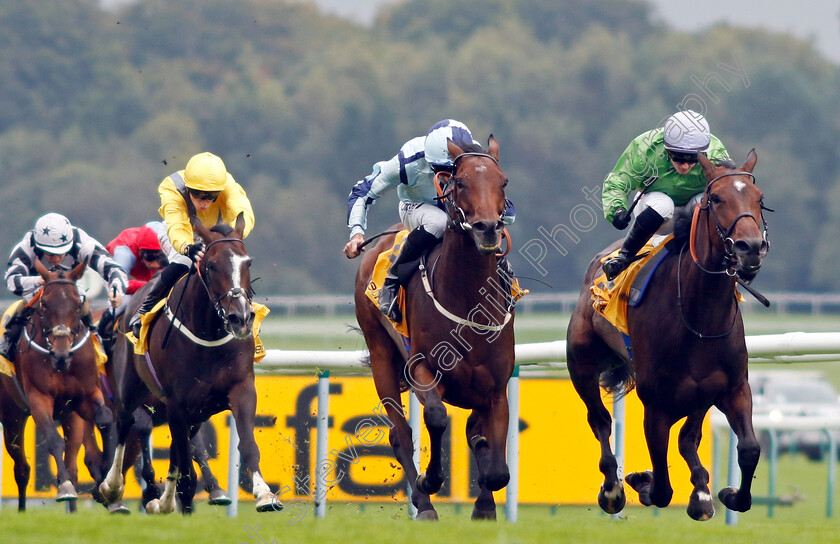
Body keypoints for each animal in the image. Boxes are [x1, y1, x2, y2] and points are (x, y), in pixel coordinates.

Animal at [0, 260, 115, 510]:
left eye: (77, 304)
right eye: (44, 304)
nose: (61, 354)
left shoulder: (85, 396)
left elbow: (105, 418)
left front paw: (108, 480)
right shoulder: (38, 397)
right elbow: (54, 440)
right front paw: (64, 488)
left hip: (70, 416)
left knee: (76, 462)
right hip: (12, 415)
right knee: (22, 469)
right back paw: (22, 509)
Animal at [98, 215, 276, 512]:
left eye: (247, 262)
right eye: (212, 265)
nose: (240, 318)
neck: (209, 335)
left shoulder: (240, 389)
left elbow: (247, 445)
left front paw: (265, 494)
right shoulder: (176, 403)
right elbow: (183, 468)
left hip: (195, 411)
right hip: (130, 389)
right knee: (124, 423)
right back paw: (112, 487)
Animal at [352, 136, 516, 520]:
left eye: (502, 182)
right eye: (462, 183)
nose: (488, 228)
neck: (468, 299)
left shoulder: (496, 386)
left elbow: (496, 462)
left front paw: (484, 505)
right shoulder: (422, 368)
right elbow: (438, 417)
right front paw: (430, 480)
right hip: (381, 355)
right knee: (399, 433)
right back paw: (424, 504)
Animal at [568, 151, 772, 520]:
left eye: (759, 198)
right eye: (715, 198)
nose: (750, 247)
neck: (699, 317)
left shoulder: (733, 387)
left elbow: (749, 449)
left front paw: (728, 494)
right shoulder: (656, 404)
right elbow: (662, 486)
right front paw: (640, 480)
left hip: (701, 394)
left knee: (688, 438)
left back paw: (702, 492)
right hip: (581, 364)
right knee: (600, 420)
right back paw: (612, 488)